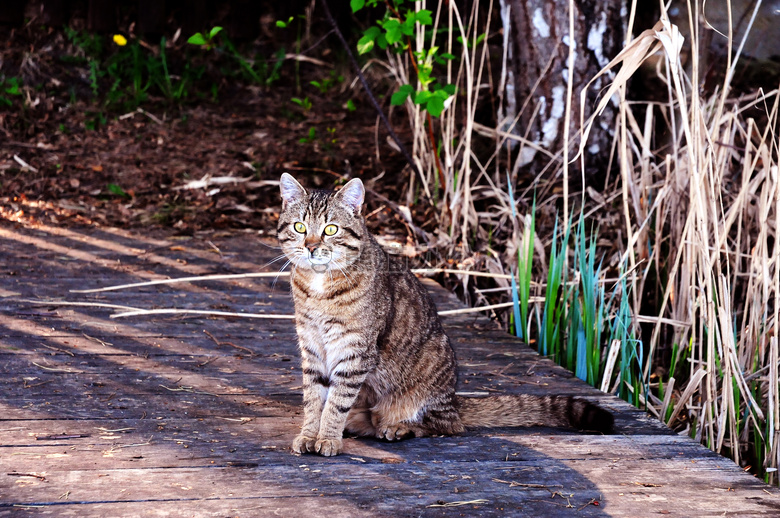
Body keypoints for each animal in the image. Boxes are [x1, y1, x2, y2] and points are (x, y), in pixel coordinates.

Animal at [278, 176, 612, 460]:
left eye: (331, 229)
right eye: (299, 227)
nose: (311, 247)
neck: (320, 287)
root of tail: (454, 399)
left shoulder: (354, 351)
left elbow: (336, 402)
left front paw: (328, 438)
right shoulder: (312, 346)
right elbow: (314, 398)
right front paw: (309, 434)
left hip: (430, 373)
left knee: (446, 426)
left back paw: (398, 427)